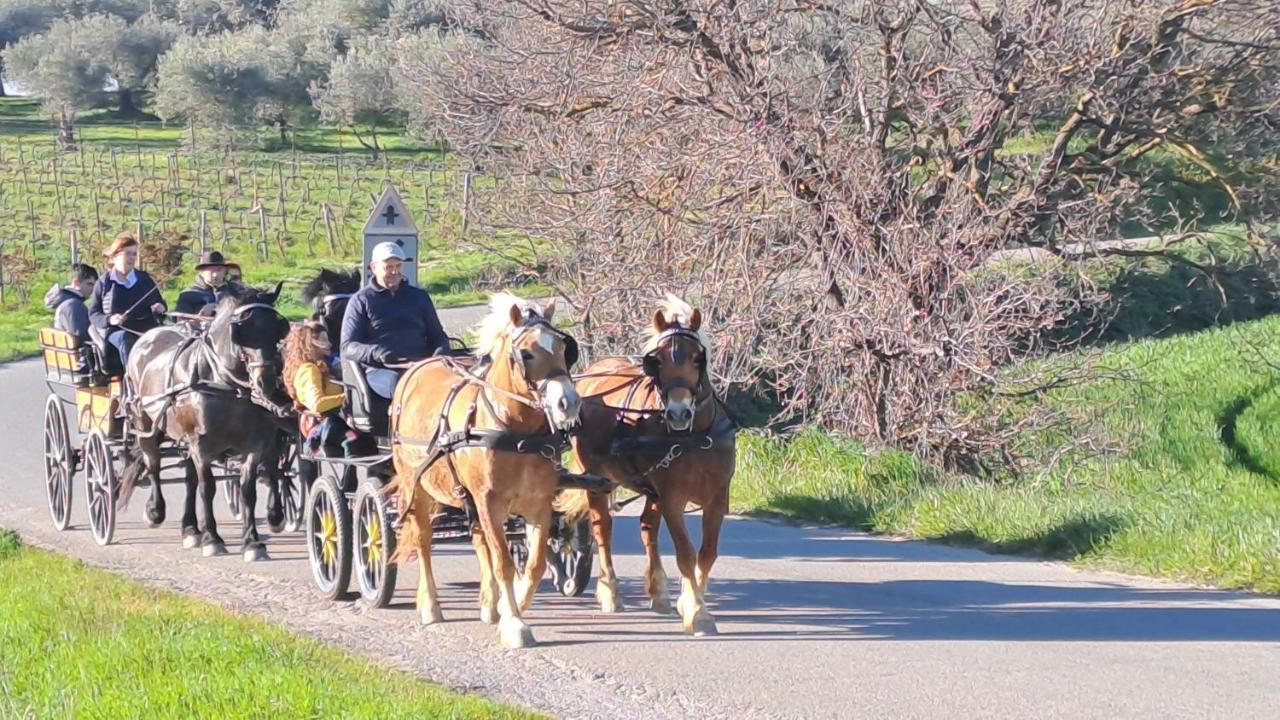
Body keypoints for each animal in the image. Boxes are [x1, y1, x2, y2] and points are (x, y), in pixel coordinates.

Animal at [117, 283, 293, 558]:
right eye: (241, 330)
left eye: (278, 328)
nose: (266, 381)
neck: (226, 385)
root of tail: (147, 336)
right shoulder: (202, 445)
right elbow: (207, 488)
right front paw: (213, 539)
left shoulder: (254, 445)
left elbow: (247, 489)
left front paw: (252, 542)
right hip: (146, 425)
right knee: (153, 464)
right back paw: (156, 511)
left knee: (189, 479)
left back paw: (190, 529)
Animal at [386, 292, 583, 645]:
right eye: (527, 353)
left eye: (564, 348)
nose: (568, 403)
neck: (517, 434)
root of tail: (415, 367)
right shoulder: (489, 502)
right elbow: (503, 561)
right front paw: (515, 624)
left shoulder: (538, 503)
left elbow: (534, 563)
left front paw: (509, 604)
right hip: (416, 487)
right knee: (423, 541)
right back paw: (430, 606)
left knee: (479, 543)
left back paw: (489, 604)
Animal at [563, 292, 737, 632]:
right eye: (657, 360)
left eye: (697, 357)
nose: (678, 413)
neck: (696, 437)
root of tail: (593, 370)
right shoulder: (673, 498)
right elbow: (685, 553)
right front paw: (697, 611)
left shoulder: (717, 498)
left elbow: (707, 553)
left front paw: (688, 600)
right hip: (598, 481)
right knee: (603, 528)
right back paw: (610, 592)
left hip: (649, 487)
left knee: (647, 528)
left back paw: (658, 593)